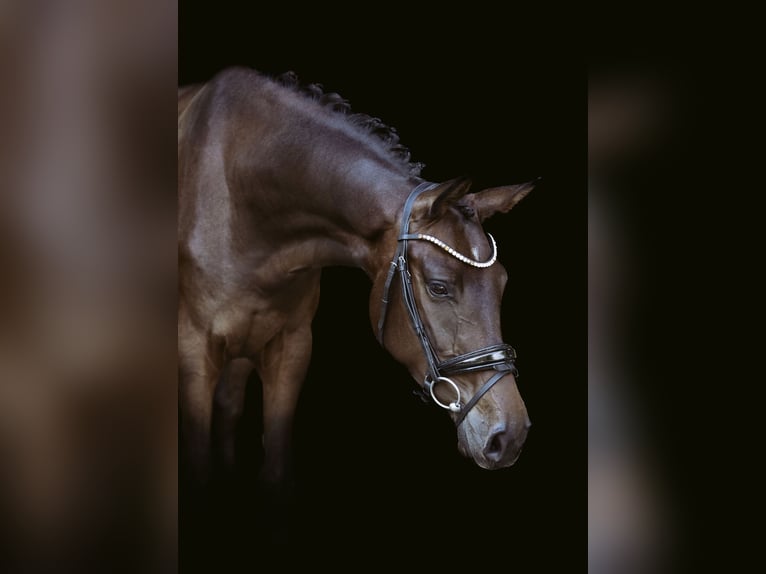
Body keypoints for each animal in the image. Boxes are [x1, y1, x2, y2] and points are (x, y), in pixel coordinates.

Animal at [180, 67, 536, 496]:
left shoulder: (291, 349)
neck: (242, 204)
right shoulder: (195, 351)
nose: (509, 436)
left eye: (502, 283)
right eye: (439, 287)